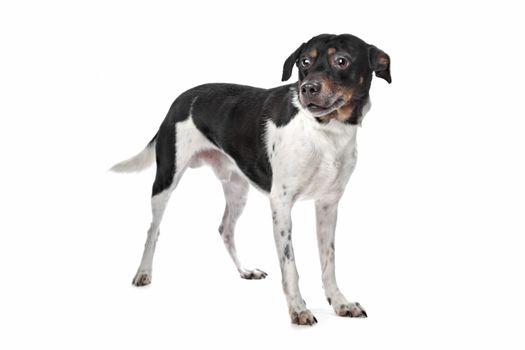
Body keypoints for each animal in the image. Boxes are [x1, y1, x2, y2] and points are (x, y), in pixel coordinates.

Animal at [111, 33, 388, 326]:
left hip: (237, 189)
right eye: (304, 61)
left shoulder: (328, 204)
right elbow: (290, 265)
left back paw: (245, 270)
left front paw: (340, 303)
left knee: (225, 229)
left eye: (342, 61)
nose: (308, 88)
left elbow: (329, 261)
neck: (325, 131)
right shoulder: (281, 203)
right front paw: (298, 309)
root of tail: (180, 100)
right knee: (153, 229)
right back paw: (143, 273)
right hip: (166, 179)